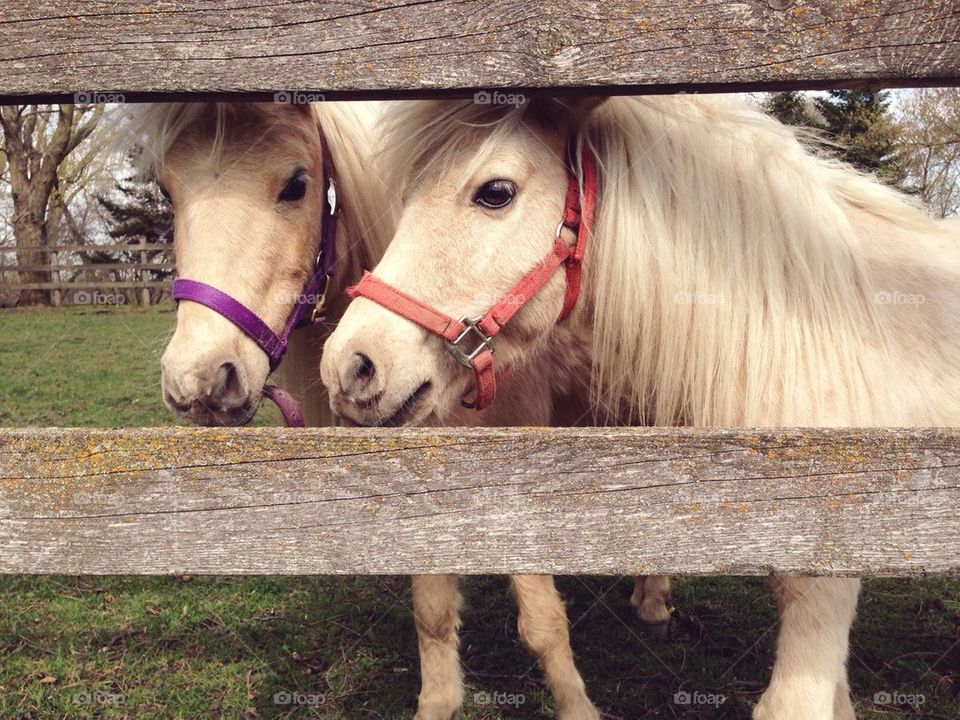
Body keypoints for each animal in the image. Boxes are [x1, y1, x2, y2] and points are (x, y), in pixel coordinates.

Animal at [118, 100, 613, 719]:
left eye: (296, 184)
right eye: (167, 189)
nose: (201, 378)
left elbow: (543, 621)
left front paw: (577, 706)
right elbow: (432, 612)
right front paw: (439, 702)